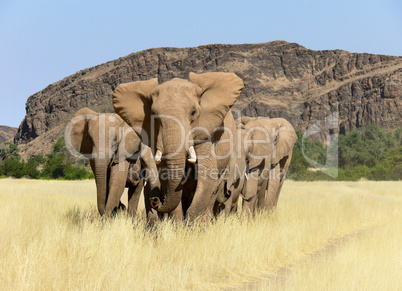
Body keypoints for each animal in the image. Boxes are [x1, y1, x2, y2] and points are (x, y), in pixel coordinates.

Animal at [113, 73, 245, 221]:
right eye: (155, 117)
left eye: (193, 112)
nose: (155, 200)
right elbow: (167, 178)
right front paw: (179, 223)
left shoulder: (206, 130)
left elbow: (207, 176)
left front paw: (191, 222)